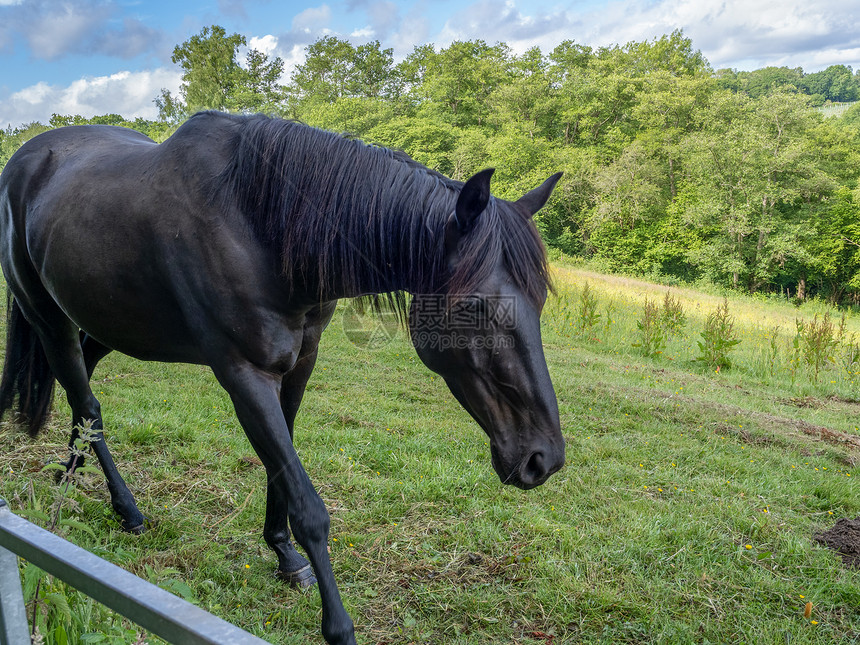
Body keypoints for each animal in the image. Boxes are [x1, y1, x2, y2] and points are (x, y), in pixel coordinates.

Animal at [0, 112, 564, 644]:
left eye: (540, 300)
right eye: (475, 306)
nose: (545, 459)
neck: (258, 226)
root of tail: (27, 157)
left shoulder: (299, 366)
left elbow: (281, 468)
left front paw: (284, 555)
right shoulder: (244, 377)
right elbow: (308, 504)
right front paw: (338, 625)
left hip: (109, 323)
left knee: (82, 395)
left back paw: (68, 474)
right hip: (47, 317)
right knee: (88, 405)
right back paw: (125, 508)